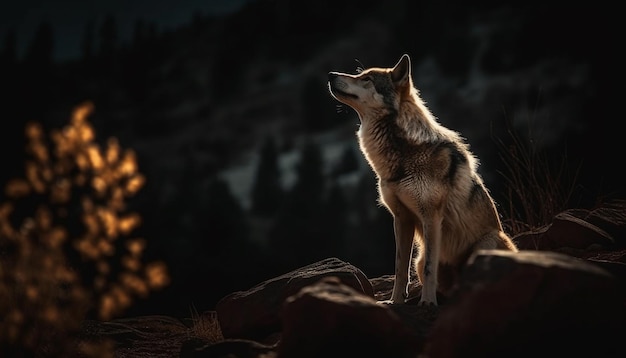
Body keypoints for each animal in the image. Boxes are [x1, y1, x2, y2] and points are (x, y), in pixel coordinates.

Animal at [326, 54, 516, 306]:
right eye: (361, 75)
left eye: (366, 78)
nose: (330, 74)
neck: (401, 155)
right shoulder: (401, 218)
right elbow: (399, 267)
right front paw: (395, 302)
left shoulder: (431, 216)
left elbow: (429, 268)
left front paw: (427, 303)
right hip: (422, 255)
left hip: (485, 245)